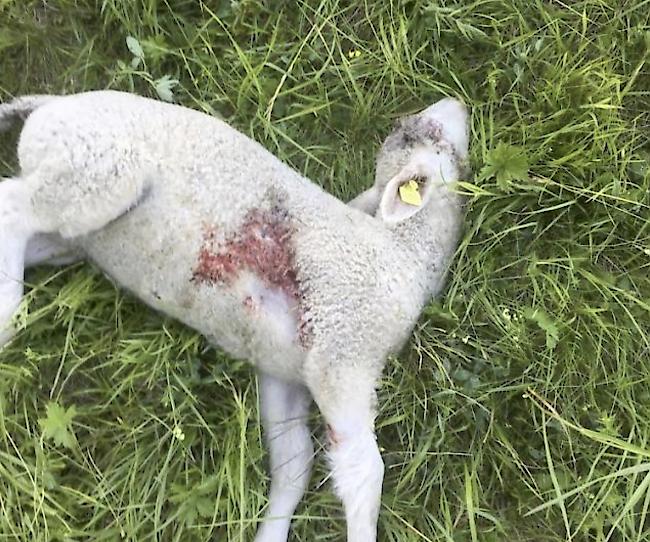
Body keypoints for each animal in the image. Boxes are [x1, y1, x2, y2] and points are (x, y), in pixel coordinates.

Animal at [0, 91, 466, 540]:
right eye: (419, 135)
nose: (458, 106)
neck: (401, 256)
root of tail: (49, 104)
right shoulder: (342, 356)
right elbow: (365, 473)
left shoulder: (287, 373)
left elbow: (294, 464)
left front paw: (270, 533)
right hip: (95, 172)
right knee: (12, 209)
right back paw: (7, 316)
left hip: (70, 229)